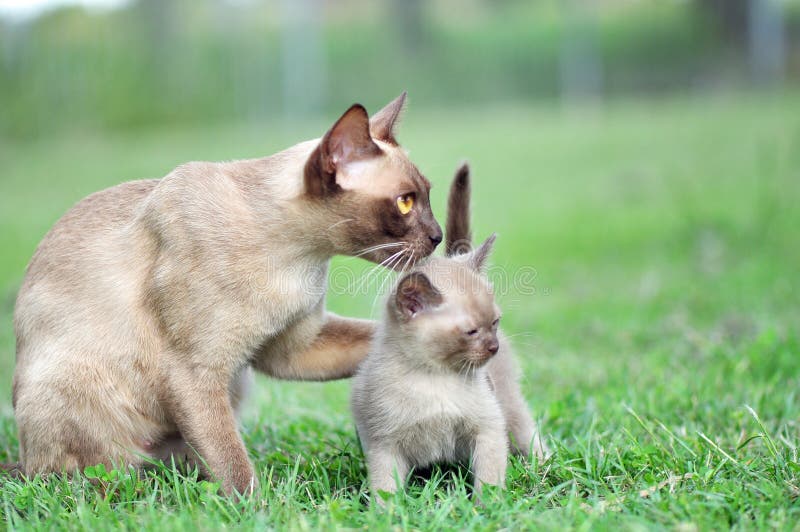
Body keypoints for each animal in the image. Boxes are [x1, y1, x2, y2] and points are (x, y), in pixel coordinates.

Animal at [9, 92, 440, 494]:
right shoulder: (194, 372)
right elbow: (234, 467)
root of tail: (23, 462)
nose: (438, 237)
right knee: (99, 480)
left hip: (233, 387)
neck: (297, 261)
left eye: (427, 196)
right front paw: (260, 511)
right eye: (405, 203)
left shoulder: (293, 349)